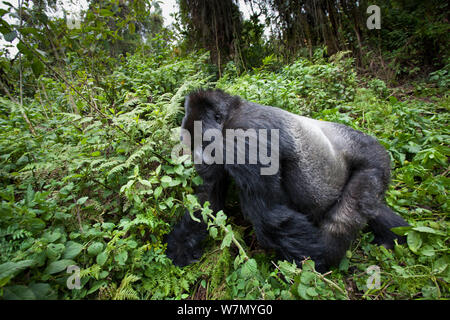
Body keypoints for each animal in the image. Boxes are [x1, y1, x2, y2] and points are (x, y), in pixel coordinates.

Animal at [164, 89, 408, 272]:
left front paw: (312, 261)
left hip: (373, 159)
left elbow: (269, 215)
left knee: (342, 219)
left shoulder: (244, 137)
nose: (197, 161)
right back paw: (397, 236)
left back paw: (328, 259)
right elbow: (207, 200)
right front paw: (180, 247)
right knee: (374, 208)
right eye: (190, 144)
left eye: (203, 143)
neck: (229, 115)